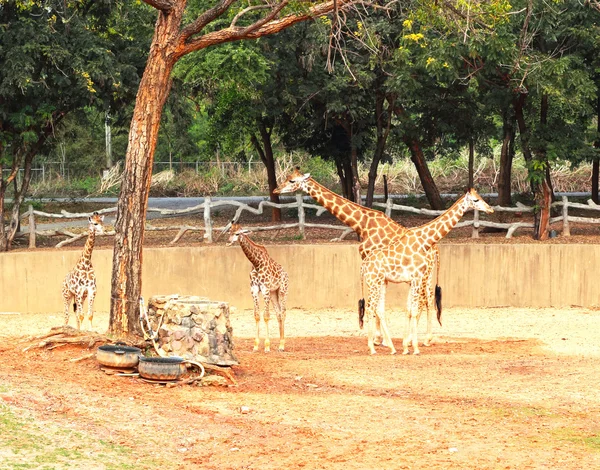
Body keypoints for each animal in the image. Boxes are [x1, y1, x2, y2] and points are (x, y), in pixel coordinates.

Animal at [226, 224, 290, 352]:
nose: (229, 242)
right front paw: (255, 346)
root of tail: (286, 274)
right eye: (230, 231)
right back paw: (280, 344)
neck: (256, 263)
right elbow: (256, 315)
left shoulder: (265, 290)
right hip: (274, 293)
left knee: (283, 312)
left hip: (282, 290)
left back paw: (282, 345)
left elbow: (266, 316)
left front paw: (267, 346)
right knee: (278, 313)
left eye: (237, 233)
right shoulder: (254, 290)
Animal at [274, 169, 440, 348]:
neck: (362, 224)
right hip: (426, 274)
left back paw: (418, 339)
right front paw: (380, 338)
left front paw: (378, 338)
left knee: (425, 298)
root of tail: (436, 249)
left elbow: (374, 301)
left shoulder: (371, 260)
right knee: (428, 297)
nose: (276, 190)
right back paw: (423, 338)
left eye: (292, 181)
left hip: (422, 274)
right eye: (288, 178)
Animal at [358, 185, 494, 354]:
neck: (425, 241)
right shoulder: (417, 277)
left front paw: (406, 347)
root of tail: (363, 265)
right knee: (370, 308)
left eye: (480, 197)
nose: (490, 209)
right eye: (475, 200)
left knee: (379, 309)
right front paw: (415, 348)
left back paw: (391, 348)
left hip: (381, 282)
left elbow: (410, 310)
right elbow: (415, 310)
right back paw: (372, 348)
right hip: (374, 282)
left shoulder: (413, 280)